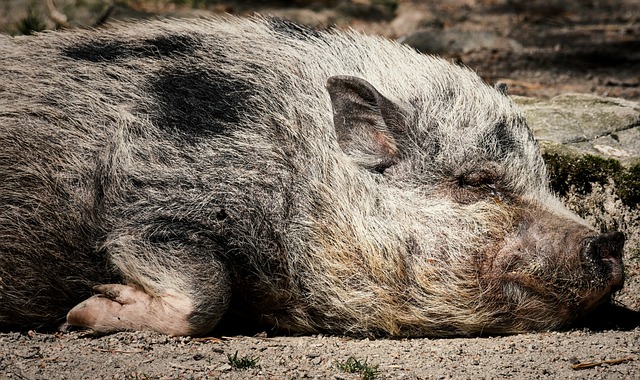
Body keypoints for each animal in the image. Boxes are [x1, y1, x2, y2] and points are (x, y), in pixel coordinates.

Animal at [0, 14, 624, 336]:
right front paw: (82, 312)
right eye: (476, 181)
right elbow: (207, 288)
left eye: (544, 178)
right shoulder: (150, 208)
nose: (611, 240)